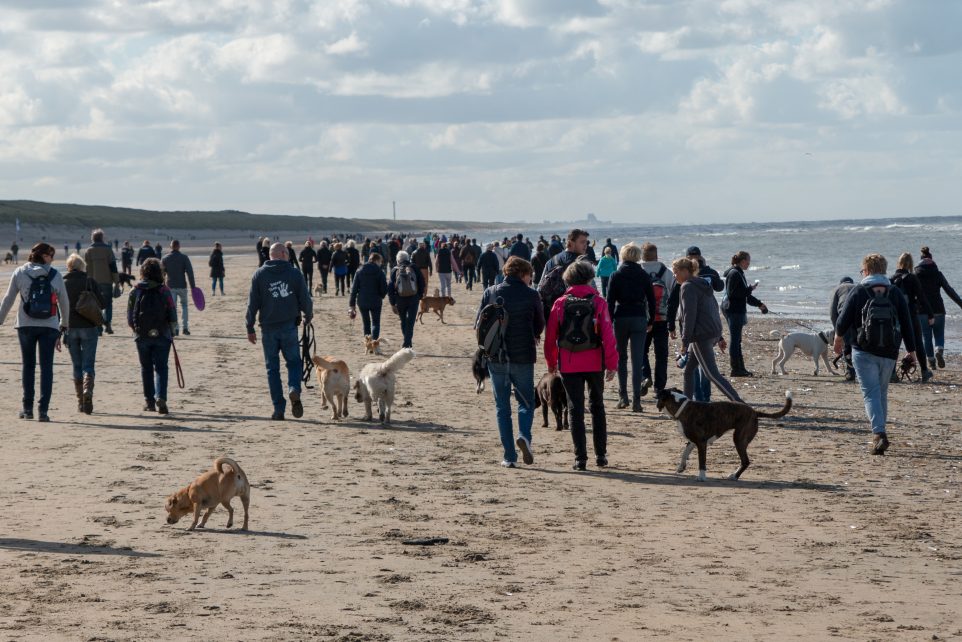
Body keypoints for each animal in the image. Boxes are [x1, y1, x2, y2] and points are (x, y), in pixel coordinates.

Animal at [656, 384, 792, 480]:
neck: (682, 407)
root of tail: (754, 412)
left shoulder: (701, 443)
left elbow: (702, 461)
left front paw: (702, 477)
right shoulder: (693, 441)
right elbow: (684, 453)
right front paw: (681, 467)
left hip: (739, 439)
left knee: (745, 461)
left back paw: (735, 476)